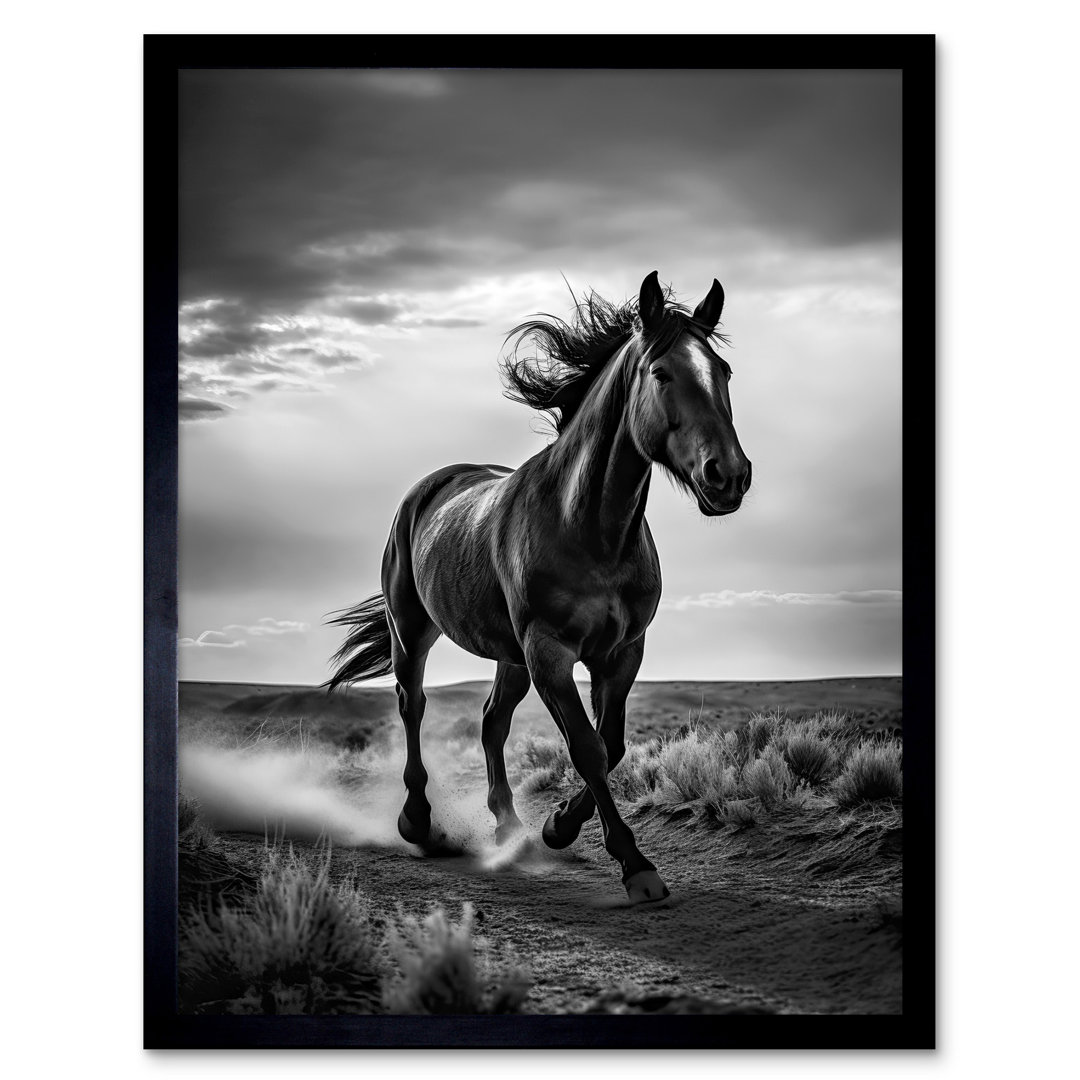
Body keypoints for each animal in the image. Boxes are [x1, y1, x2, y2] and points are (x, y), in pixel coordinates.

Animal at [327, 271, 751, 904]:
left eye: (722, 371)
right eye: (662, 373)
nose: (729, 476)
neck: (590, 527)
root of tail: (427, 489)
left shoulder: (621, 653)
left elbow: (612, 744)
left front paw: (558, 826)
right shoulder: (550, 651)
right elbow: (587, 748)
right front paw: (634, 865)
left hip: (509, 657)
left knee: (491, 721)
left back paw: (510, 828)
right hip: (415, 633)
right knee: (413, 705)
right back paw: (418, 821)